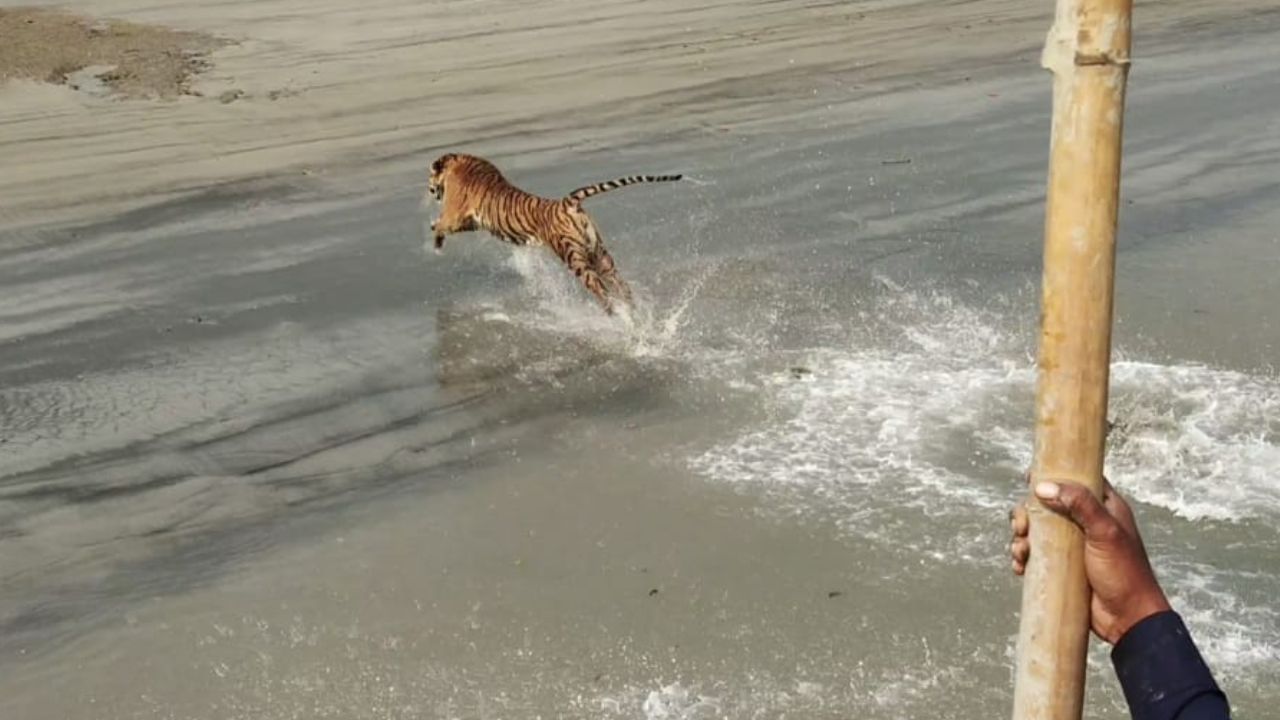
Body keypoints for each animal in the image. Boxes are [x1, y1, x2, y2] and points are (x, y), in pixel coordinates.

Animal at [422, 152, 680, 312]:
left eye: (429, 177)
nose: (429, 190)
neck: (458, 161)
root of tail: (568, 203)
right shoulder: (472, 222)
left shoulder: (455, 215)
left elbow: (441, 225)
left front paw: (435, 243)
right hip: (600, 255)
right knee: (622, 288)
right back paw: (634, 312)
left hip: (575, 258)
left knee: (602, 292)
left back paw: (617, 316)